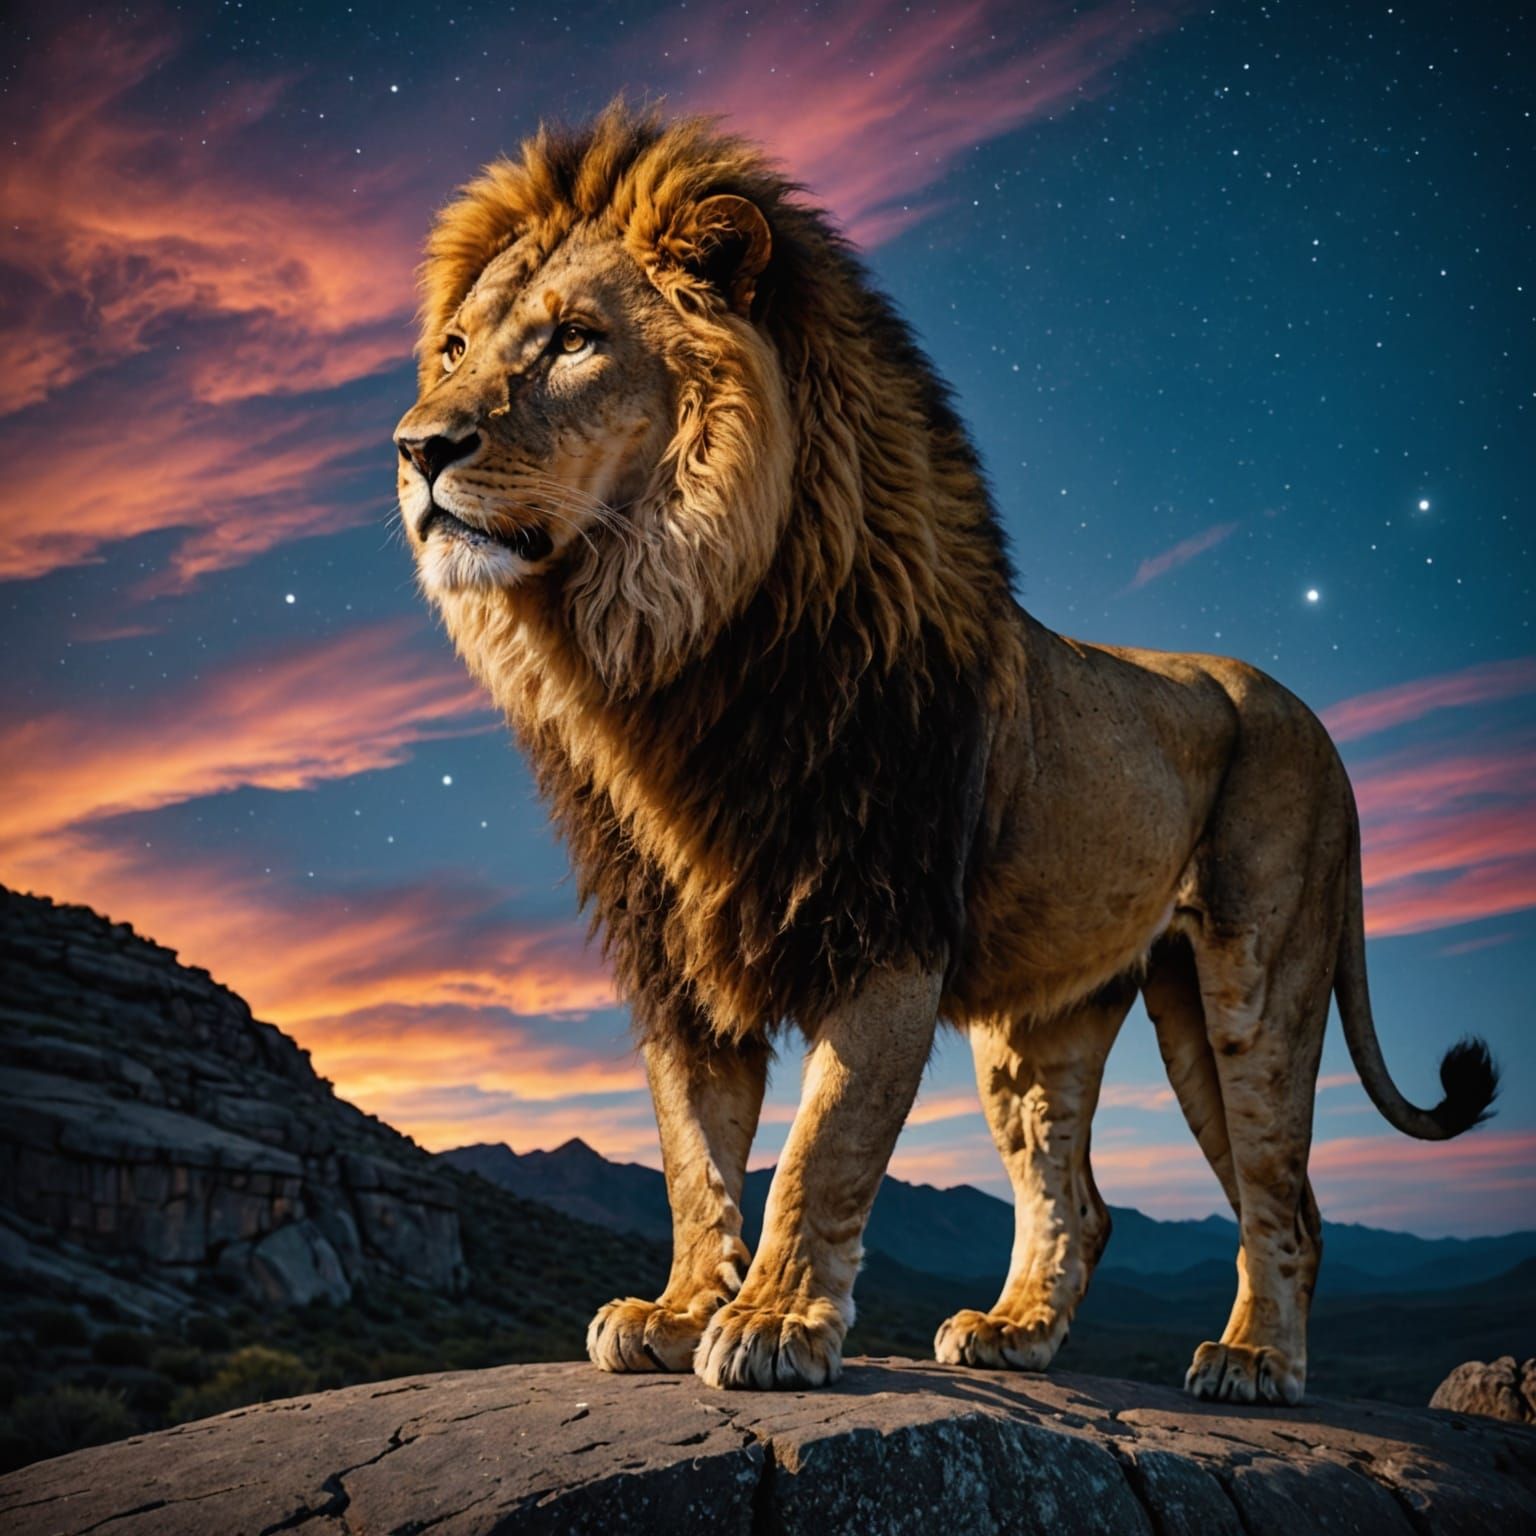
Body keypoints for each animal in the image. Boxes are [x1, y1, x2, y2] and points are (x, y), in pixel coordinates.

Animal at [393, 100, 1498, 1403]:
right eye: (454, 346)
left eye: (573, 340)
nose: (416, 447)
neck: (668, 657)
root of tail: (1316, 722)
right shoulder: (673, 958)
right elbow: (692, 1153)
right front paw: (675, 1310)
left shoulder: (885, 919)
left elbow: (825, 1143)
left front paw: (772, 1324)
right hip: (1056, 1017)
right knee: (1082, 1199)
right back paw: (1015, 1331)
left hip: (1256, 982)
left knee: (1287, 1196)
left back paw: (1254, 1360)